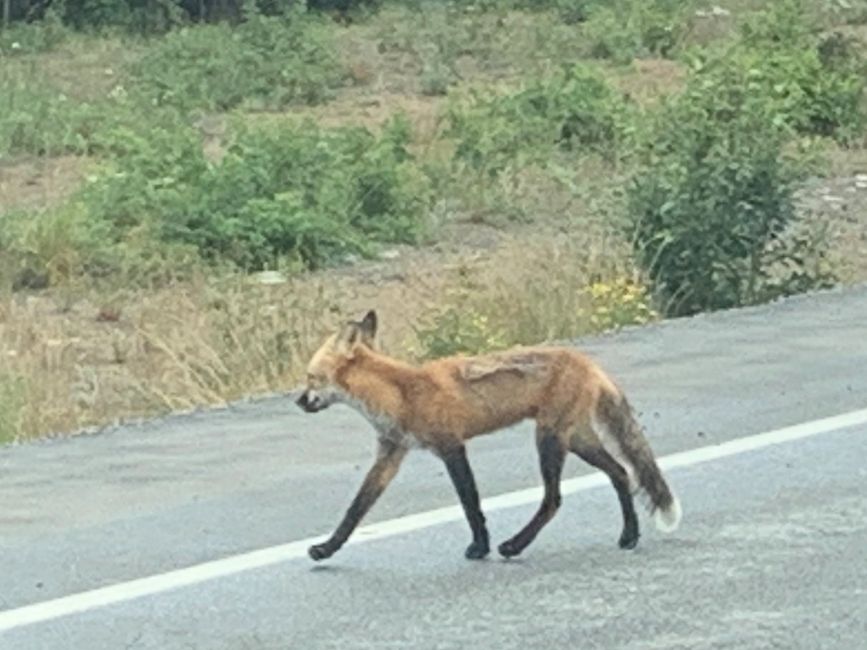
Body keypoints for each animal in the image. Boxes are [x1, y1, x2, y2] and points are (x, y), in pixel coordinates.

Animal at [294, 312, 680, 560]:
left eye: (311, 377)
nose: (298, 401)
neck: (401, 394)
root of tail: (590, 363)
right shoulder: (391, 453)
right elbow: (355, 509)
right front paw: (327, 548)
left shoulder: (451, 446)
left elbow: (470, 503)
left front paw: (479, 547)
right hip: (578, 440)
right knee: (621, 473)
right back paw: (629, 536)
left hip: (549, 440)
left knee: (554, 499)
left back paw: (515, 545)